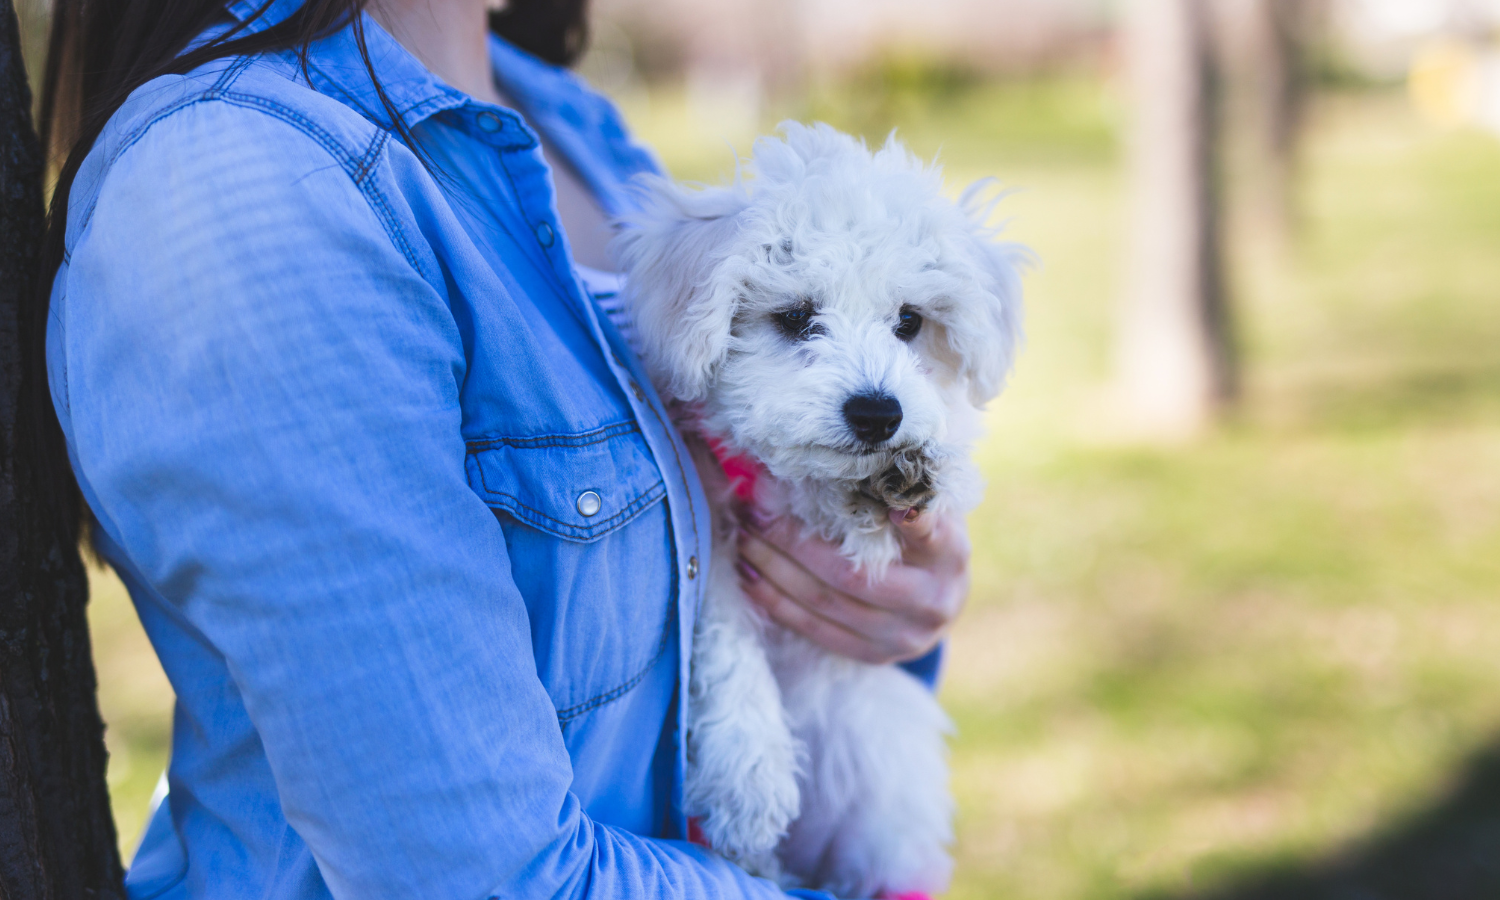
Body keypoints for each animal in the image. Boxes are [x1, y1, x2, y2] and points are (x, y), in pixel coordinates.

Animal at [615, 123, 1026, 894]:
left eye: (909, 322)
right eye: (797, 317)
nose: (878, 413)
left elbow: (927, 481)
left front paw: (902, 476)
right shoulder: (715, 526)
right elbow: (724, 630)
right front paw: (751, 778)